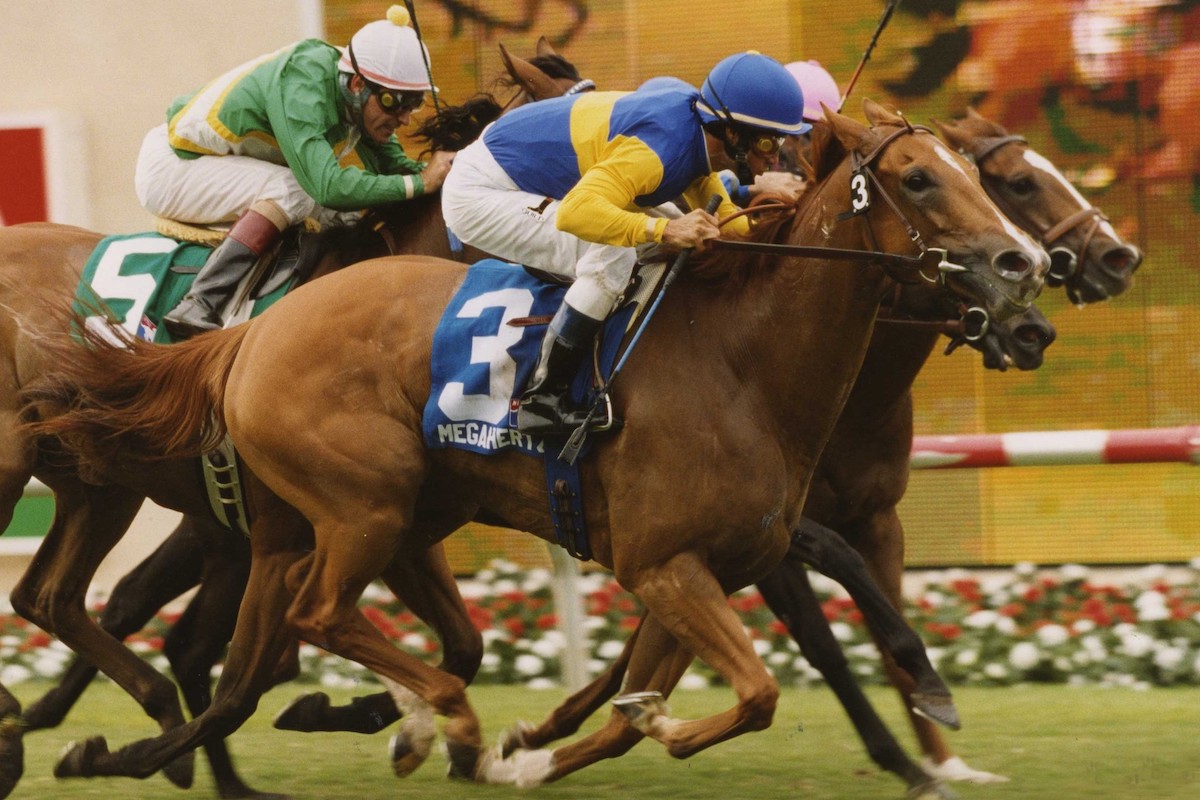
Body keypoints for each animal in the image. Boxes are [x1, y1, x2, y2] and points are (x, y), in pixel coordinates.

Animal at [21, 101, 1051, 786]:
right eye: (920, 178)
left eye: (979, 175)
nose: (1028, 269)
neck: (743, 365)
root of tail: (253, 330)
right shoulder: (665, 563)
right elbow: (756, 689)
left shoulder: (700, 567)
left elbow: (654, 709)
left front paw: (536, 751)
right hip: (362, 507)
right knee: (307, 621)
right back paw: (432, 720)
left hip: (294, 525)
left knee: (233, 662)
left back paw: (113, 745)